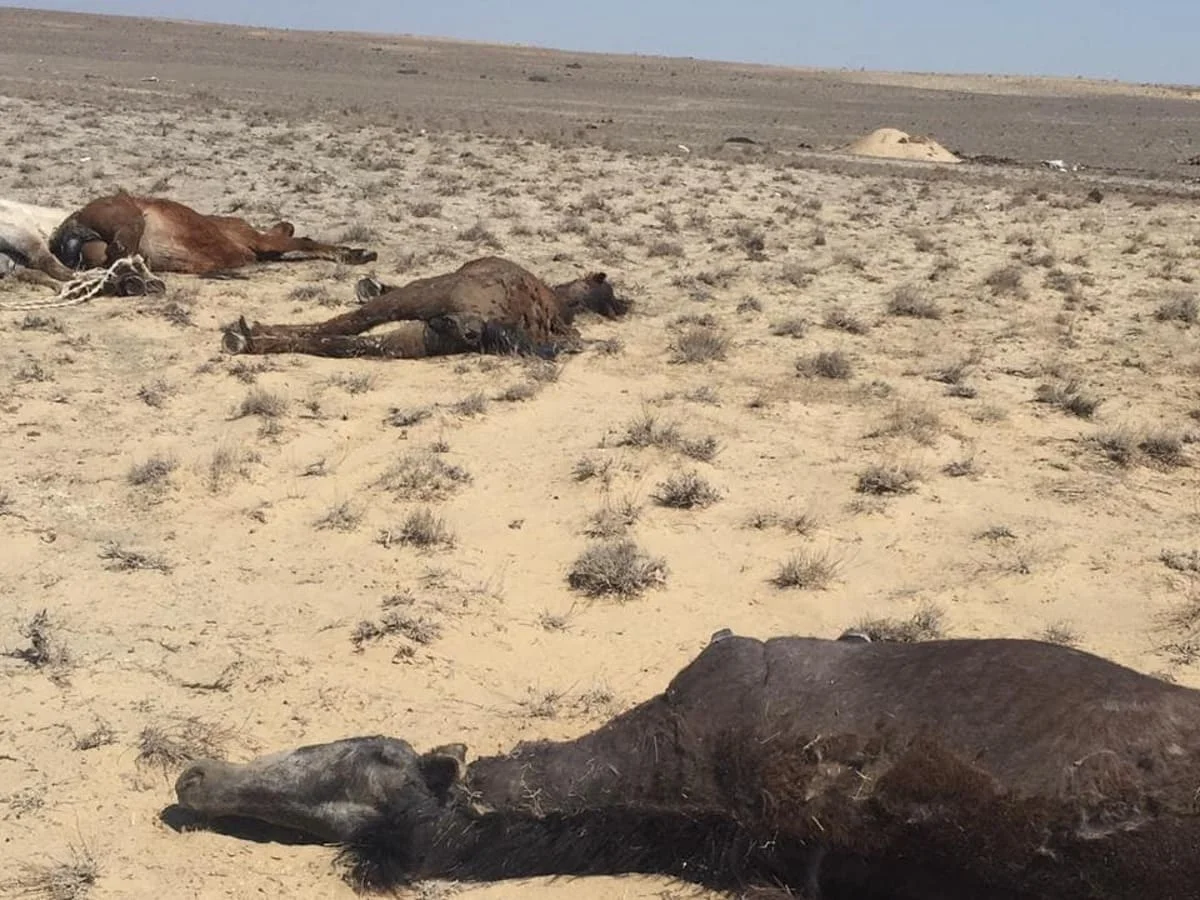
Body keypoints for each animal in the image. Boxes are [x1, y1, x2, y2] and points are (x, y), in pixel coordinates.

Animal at [50, 195, 374, 280]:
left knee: (114, 258)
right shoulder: (261, 242)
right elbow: (305, 241)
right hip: (128, 221)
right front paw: (357, 254)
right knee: (120, 254)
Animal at [220, 255, 628, 362]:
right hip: (421, 337)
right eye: (608, 289)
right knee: (350, 340)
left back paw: (244, 336)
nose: (624, 307)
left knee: (342, 329)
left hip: (421, 300)